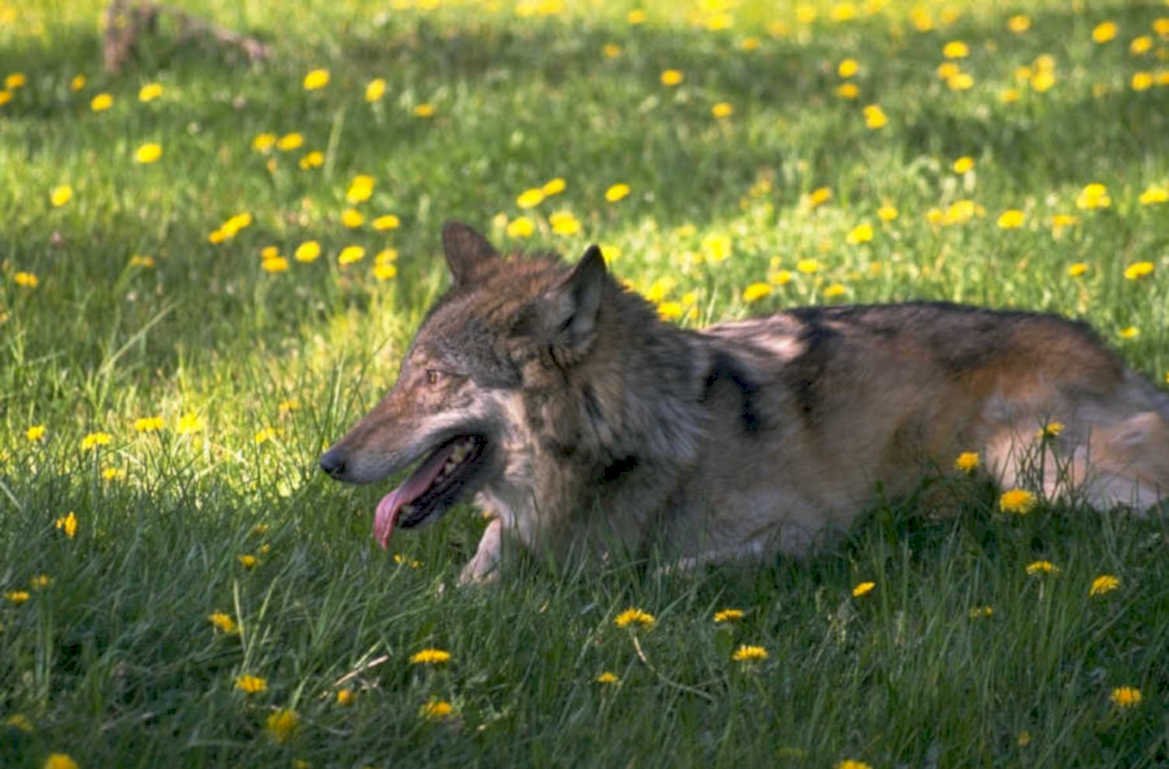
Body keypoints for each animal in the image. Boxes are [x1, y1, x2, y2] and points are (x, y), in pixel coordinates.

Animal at [320, 222, 1169, 583]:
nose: (327, 462)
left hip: (1036, 466)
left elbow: (658, 575)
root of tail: (1118, 360)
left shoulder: (805, 530)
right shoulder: (511, 532)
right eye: (405, 374)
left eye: (434, 378)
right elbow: (478, 568)